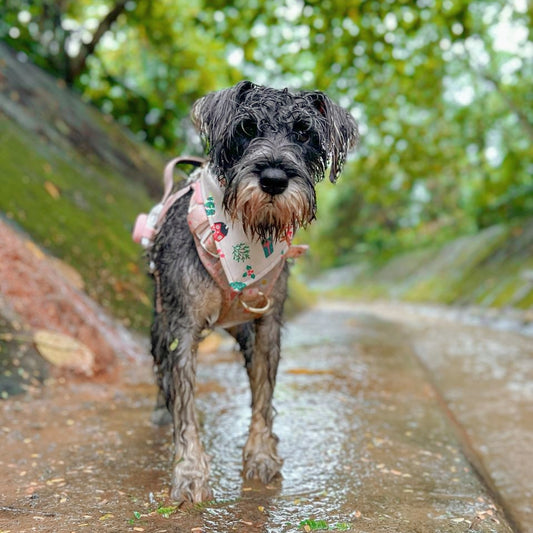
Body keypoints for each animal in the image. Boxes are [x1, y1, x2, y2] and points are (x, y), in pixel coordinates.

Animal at [145, 81, 358, 500]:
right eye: (246, 127)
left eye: (304, 133)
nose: (274, 179)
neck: (244, 236)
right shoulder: (182, 326)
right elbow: (185, 403)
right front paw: (189, 470)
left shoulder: (266, 327)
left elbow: (263, 395)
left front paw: (260, 455)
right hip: (161, 323)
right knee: (163, 375)